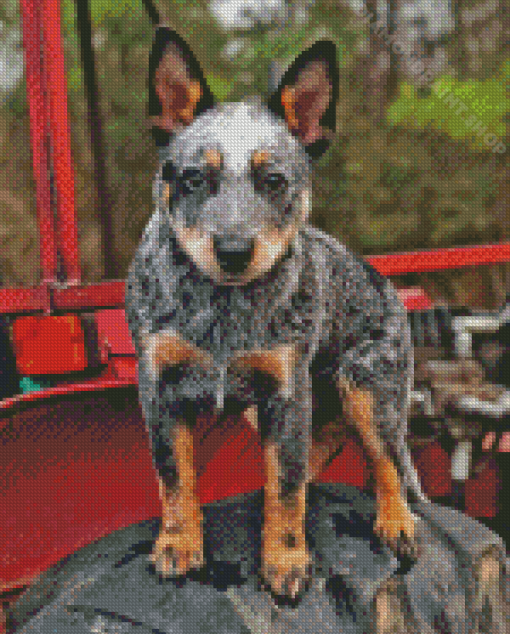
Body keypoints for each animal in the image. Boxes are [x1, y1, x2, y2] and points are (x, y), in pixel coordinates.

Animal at [125, 27, 424, 600]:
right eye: (193, 178)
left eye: (274, 181)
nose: (233, 250)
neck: (222, 312)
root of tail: (387, 285)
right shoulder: (159, 384)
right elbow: (175, 476)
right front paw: (177, 544)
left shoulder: (286, 389)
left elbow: (284, 489)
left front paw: (285, 560)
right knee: (320, 451)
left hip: (368, 387)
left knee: (387, 460)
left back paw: (396, 522)